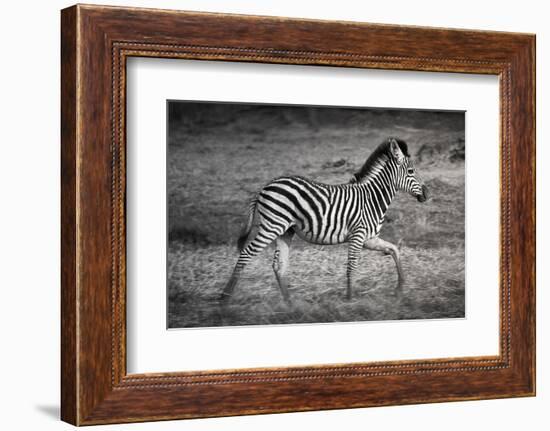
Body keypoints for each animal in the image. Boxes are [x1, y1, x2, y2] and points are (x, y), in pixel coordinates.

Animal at [221, 138, 432, 304]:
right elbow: (351, 266)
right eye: (411, 171)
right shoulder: (358, 236)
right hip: (272, 226)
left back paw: (289, 303)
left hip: (285, 230)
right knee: (246, 253)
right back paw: (225, 297)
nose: (427, 194)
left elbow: (395, 249)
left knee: (279, 266)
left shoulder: (369, 238)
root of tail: (264, 188)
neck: (372, 198)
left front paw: (400, 288)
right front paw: (350, 299)